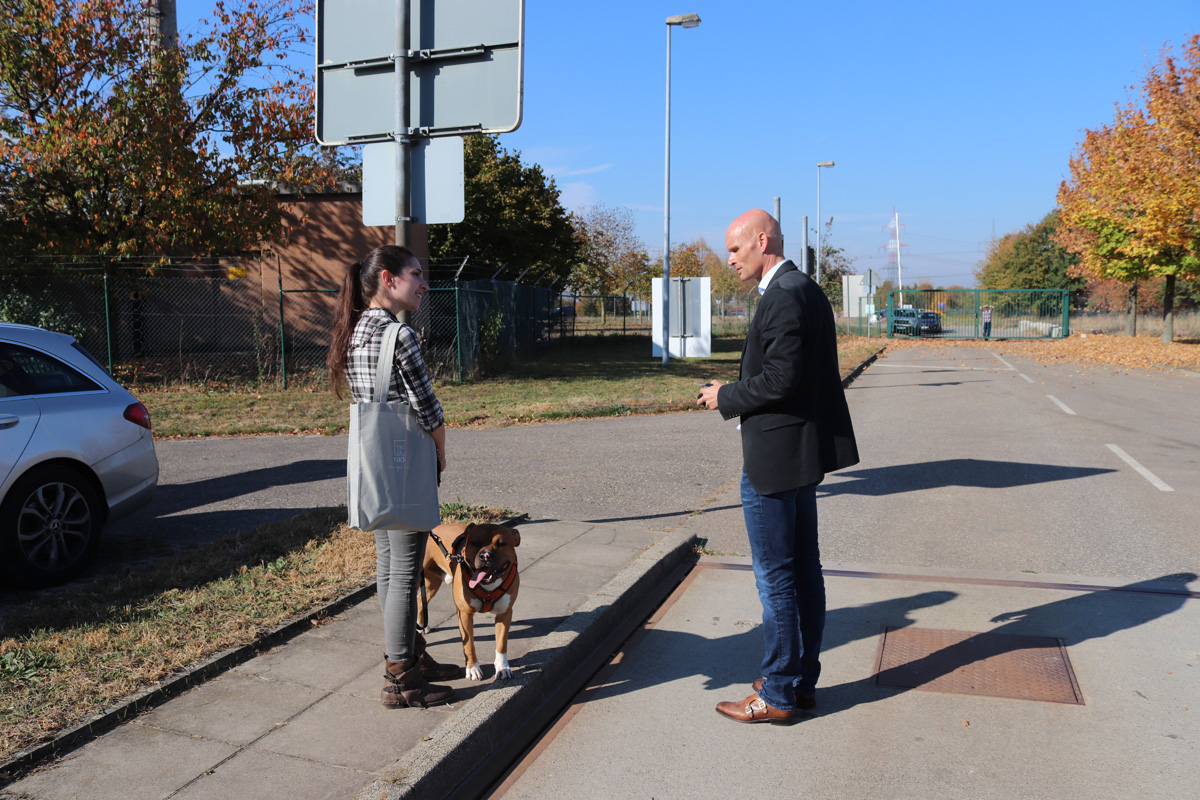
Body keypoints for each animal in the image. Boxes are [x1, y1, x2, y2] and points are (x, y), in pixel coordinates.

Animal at [417, 525, 520, 681]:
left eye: (501, 543)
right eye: (475, 543)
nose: (485, 555)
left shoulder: (505, 613)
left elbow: (501, 643)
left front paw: (502, 667)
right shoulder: (464, 614)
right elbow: (469, 644)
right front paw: (472, 669)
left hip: (432, 583)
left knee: (419, 600)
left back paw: (422, 626)